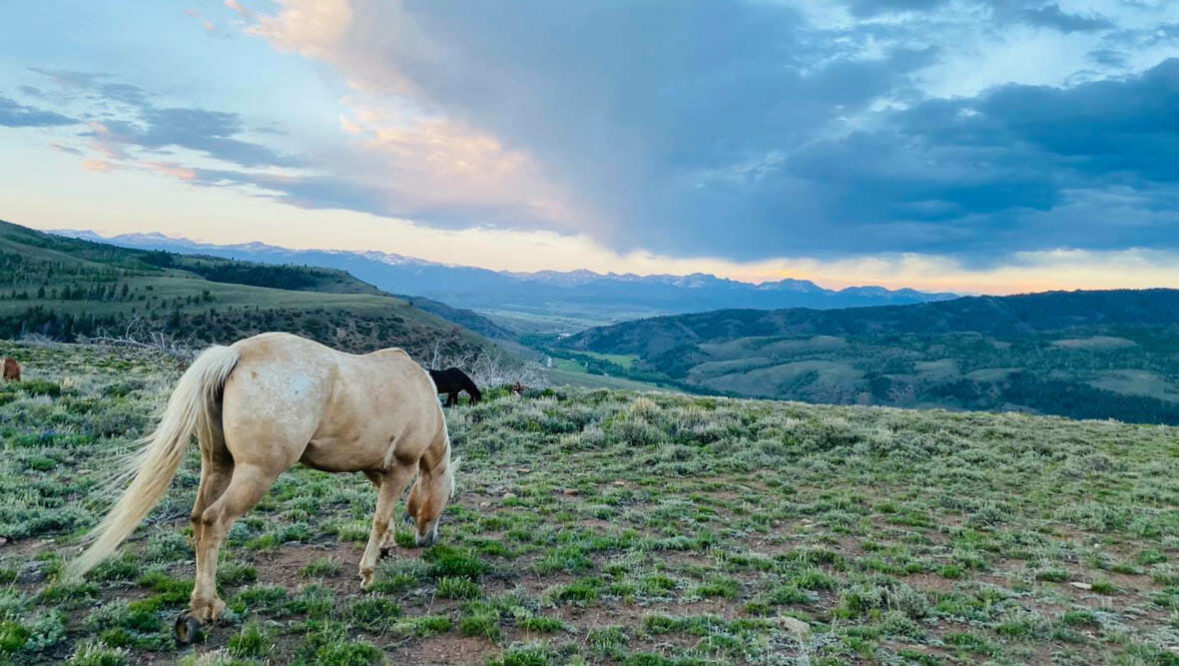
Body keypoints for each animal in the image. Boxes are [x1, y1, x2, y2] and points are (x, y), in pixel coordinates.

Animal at [65, 332, 459, 643]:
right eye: (446, 499)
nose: (429, 540)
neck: (421, 392)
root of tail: (236, 354)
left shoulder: (374, 467)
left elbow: (384, 511)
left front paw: (386, 547)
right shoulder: (401, 467)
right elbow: (380, 517)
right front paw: (368, 573)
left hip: (218, 465)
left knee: (198, 518)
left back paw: (202, 607)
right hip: (255, 474)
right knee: (214, 521)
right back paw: (204, 610)